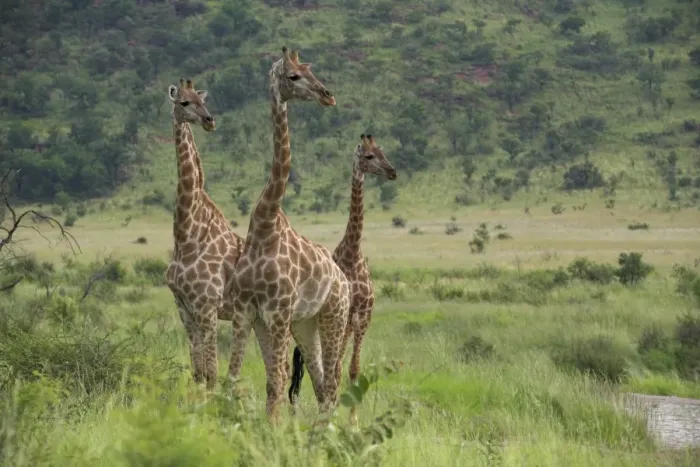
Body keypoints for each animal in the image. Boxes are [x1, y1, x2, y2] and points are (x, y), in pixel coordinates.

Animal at [164, 78, 244, 390]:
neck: (187, 237)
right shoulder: (184, 308)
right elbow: (198, 372)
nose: (210, 121)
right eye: (184, 102)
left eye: (203, 101)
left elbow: (211, 373)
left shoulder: (207, 307)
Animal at [224, 47, 351, 423]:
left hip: (333, 316)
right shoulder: (247, 313)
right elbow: (234, 376)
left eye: (309, 69)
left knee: (333, 380)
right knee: (321, 381)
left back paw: (324, 432)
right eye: (294, 76)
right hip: (305, 325)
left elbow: (276, 381)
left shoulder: (278, 312)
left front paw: (273, 430)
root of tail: (344, 281)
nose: (328, 95)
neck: (264, 226)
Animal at [288, 134, 397, 426]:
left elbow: (353, 370)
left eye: (383, 151)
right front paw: (335, 414)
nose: (392, 172)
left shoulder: (363, 318)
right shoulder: (346, 317)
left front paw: (353, 421)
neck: (353, 254)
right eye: (369, 156)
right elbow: (336, 370)